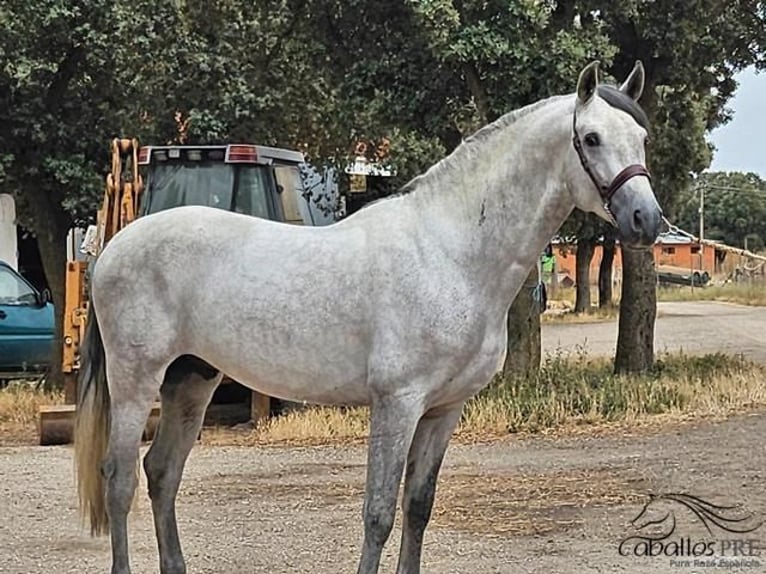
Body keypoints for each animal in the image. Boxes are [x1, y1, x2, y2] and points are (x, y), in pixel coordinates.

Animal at [76, 59, 664, 574]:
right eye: (592, 138)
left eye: (642, 138)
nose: (646, 220)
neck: (448, 251)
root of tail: (112, 247)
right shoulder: (397, 403)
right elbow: (378, 514)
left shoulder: (443, 409)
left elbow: (417, 507)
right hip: (135, 380)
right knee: (120, 479)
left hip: (192, 379)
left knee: (161, 473)